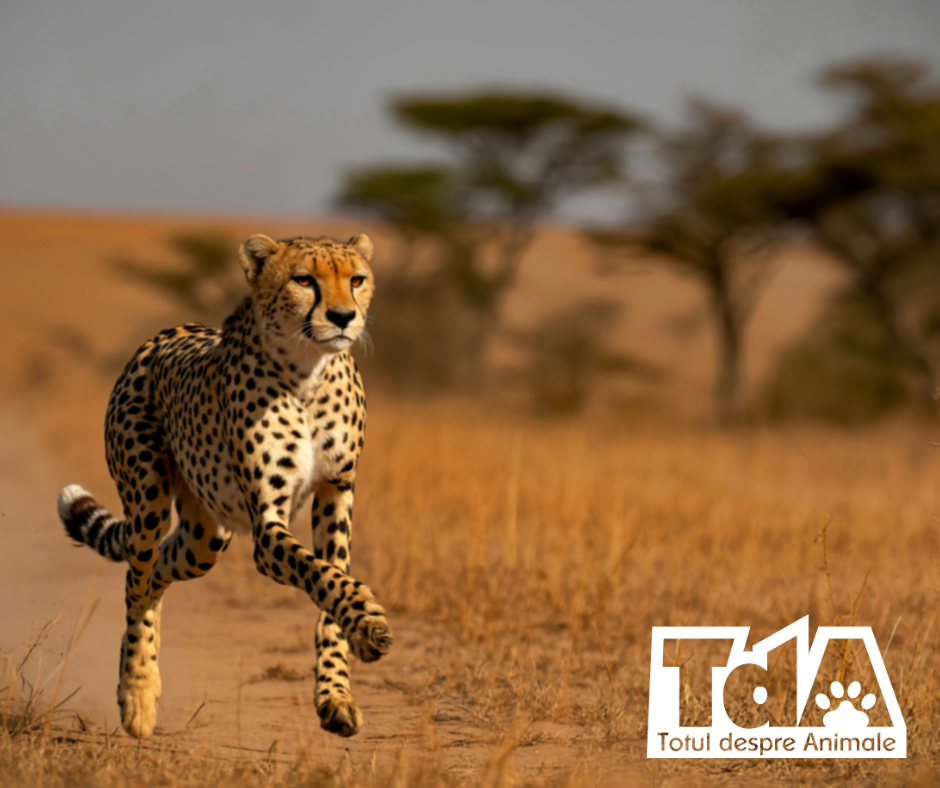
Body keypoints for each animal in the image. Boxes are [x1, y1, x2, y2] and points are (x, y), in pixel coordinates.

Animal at [57, 232, 392, 740]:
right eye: (303, 280)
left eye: (356, 279)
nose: (342, 317)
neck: (308, 370)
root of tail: (162, 334)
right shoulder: (267, 525)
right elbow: (319, 573)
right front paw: (368, 622)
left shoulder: (337, 489)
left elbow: (331, 580)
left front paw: (336, 695)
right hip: (148, 500)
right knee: (136, 580)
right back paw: (137, 695)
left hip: (204, 538)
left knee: (156, 574)